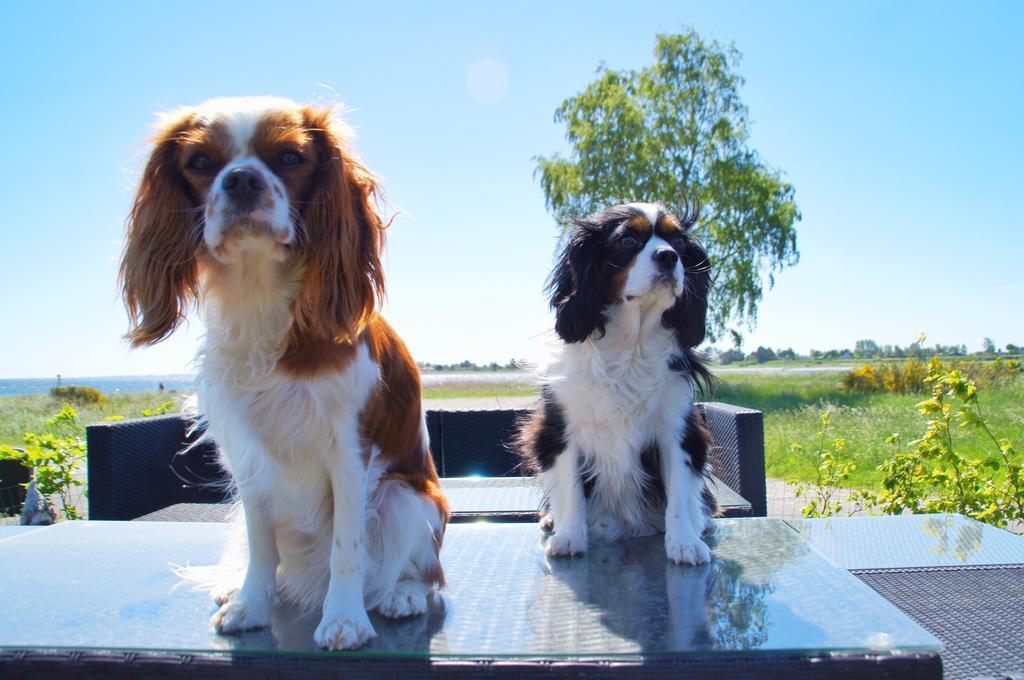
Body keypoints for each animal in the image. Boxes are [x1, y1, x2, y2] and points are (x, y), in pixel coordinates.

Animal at [120, 98, 448, 651]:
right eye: (201, 163)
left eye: (291, 157)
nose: (242, 180)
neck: (260, 302)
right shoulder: (250, 458)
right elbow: (261, 544)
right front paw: (251, 605)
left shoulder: (350, 449)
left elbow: (346, 548)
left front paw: (344, 620)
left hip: (405, 499)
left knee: (426, 574)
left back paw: (400, 594)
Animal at [516, 200, 716, 561]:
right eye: (627, 240)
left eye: (678, 242)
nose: (669, 257)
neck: (631, 341)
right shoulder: (561, 430)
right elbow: (571, 489)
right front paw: (569, 536)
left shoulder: (678, 428)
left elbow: (680, 491)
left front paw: (684, 542)